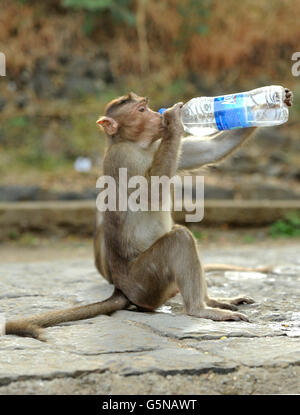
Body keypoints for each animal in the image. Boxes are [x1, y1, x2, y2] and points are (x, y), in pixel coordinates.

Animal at [4, 89, 292, 340]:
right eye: (141, 110)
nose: (158, 115)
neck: (136, 144)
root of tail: (122, 289)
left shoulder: (156, 146)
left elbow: (211, 150)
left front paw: (269, 103)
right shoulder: (123, 159)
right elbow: (152, 193)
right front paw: (176, 119)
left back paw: (213, 301)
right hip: (146, 281)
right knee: (180, 239)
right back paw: (200, 309)